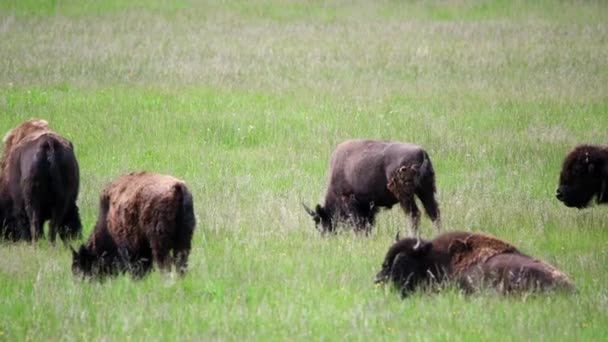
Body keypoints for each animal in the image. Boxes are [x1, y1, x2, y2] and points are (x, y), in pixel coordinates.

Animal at [304, 139, 442, 238]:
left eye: (320, 221)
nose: (325, 236)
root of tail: (421, 153)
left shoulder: (350, 201)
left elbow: (358, 223)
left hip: (405, 195)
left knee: (414, 214)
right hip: (426, 191)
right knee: (433, 212)